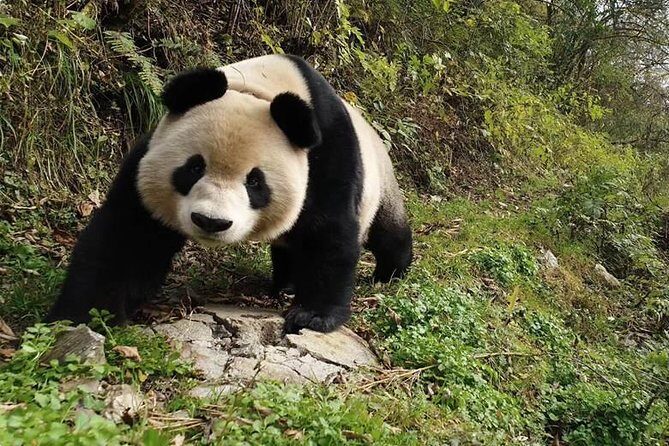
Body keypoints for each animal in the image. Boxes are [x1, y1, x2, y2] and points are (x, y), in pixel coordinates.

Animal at [46, 54, 412, 333]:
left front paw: (312, 316)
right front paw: (82, 317)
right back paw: (285, 284)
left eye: (255, 182)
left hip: (379, 183)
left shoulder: (326, 156)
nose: (211, 222)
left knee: (386, 231)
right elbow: (128, 237)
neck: (258, 90)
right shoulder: (145, 161)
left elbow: (328, 233)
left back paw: (390, 274)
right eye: (194, 167)